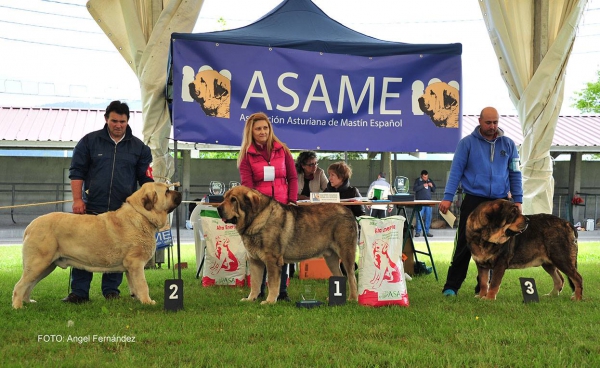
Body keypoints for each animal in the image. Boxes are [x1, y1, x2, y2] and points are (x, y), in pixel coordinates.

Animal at [11, 181, 180, 308]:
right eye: (166, 191)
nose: (179, 192)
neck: (142, 215)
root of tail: (30, 226)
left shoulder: (131, 267)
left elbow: (135, 285)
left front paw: (139, 299)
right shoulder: (136, 263)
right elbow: (143, 284)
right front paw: (148, 302)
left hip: (46, 266)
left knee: (29, 284)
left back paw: (27, 302)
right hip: (38, 263)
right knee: (20, 285)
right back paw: (18, 306)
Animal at [217, 187, 358, 304]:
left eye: (233, 200)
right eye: (224, 198)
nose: (218, 208)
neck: (257, 219)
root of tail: (348, 211)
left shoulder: (272, 260)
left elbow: (272, 283)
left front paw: (269, 301)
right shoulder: (254, 261)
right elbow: (255, 283)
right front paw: (250, 299)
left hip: (346, 253)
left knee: (351, 276)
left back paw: (352, 298)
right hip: (331, 257)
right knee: (340, 276)